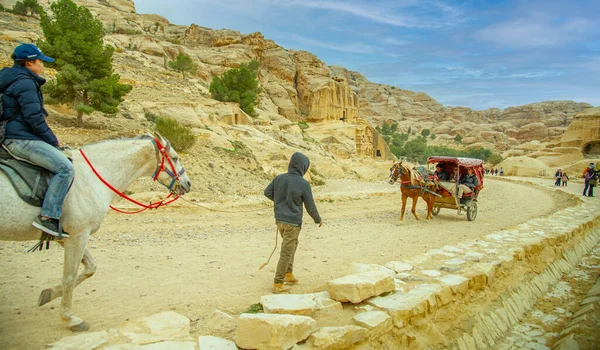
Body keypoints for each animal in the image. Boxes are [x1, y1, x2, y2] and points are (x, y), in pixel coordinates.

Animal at [0, 133, 191, 330]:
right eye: (175, 158)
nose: (188, 183)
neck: (91, 176)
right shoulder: (78, 235)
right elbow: (69, 276)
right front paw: (70, 318)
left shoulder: (68, 237)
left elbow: (90, 268)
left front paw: (49, 293)